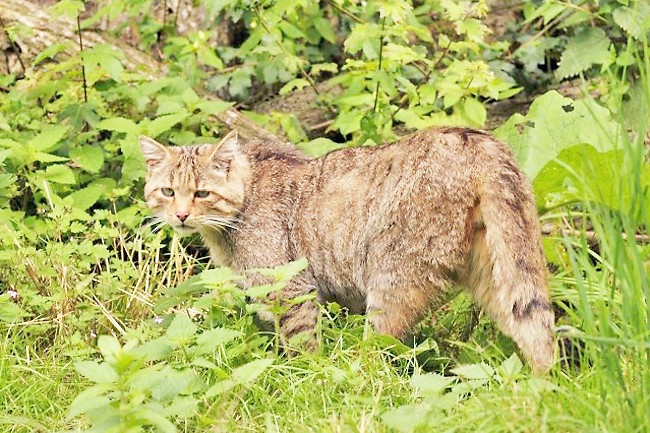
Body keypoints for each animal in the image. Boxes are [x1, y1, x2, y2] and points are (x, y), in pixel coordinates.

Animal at [139, 126, 556, 372]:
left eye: (201, 193)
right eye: (167, 191)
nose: (180, 215)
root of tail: (478, 140)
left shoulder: (291, 288)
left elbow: (302, 346)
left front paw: (305, 379)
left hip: (392, 279)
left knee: (379, 353)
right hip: (501, 273)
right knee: (534, 328)